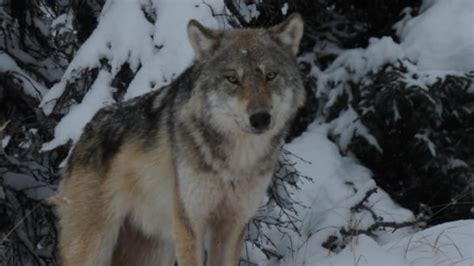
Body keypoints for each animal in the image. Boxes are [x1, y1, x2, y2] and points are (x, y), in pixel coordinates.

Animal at [55, 12, 306, 266]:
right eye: (232, 79)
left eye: (271, 75)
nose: (260, 118)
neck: (235, 162)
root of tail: (83, 134)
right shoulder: (190, 224)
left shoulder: (232, 226)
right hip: (93, 249)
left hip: (153, 252)